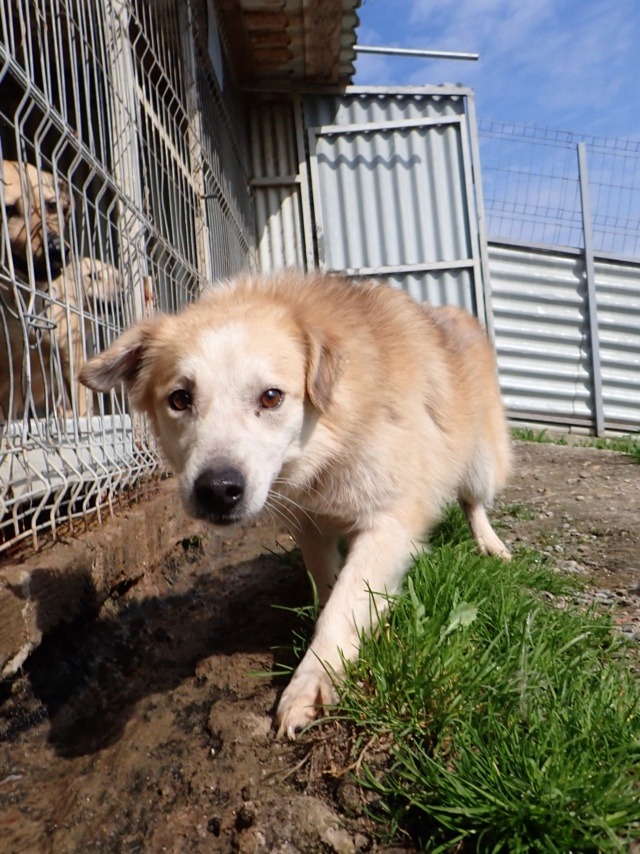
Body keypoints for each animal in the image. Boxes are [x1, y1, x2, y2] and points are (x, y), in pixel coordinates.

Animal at [79, 271, 511, 738]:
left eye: (271, 397)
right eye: (179, 399)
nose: (217, 490)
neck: (326, 450)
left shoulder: (390, 522)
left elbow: (345, 604)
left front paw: (312, 679)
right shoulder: (309, 523)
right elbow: (330, 586)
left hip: (481, 461)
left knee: (473, 501)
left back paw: (490, 545)